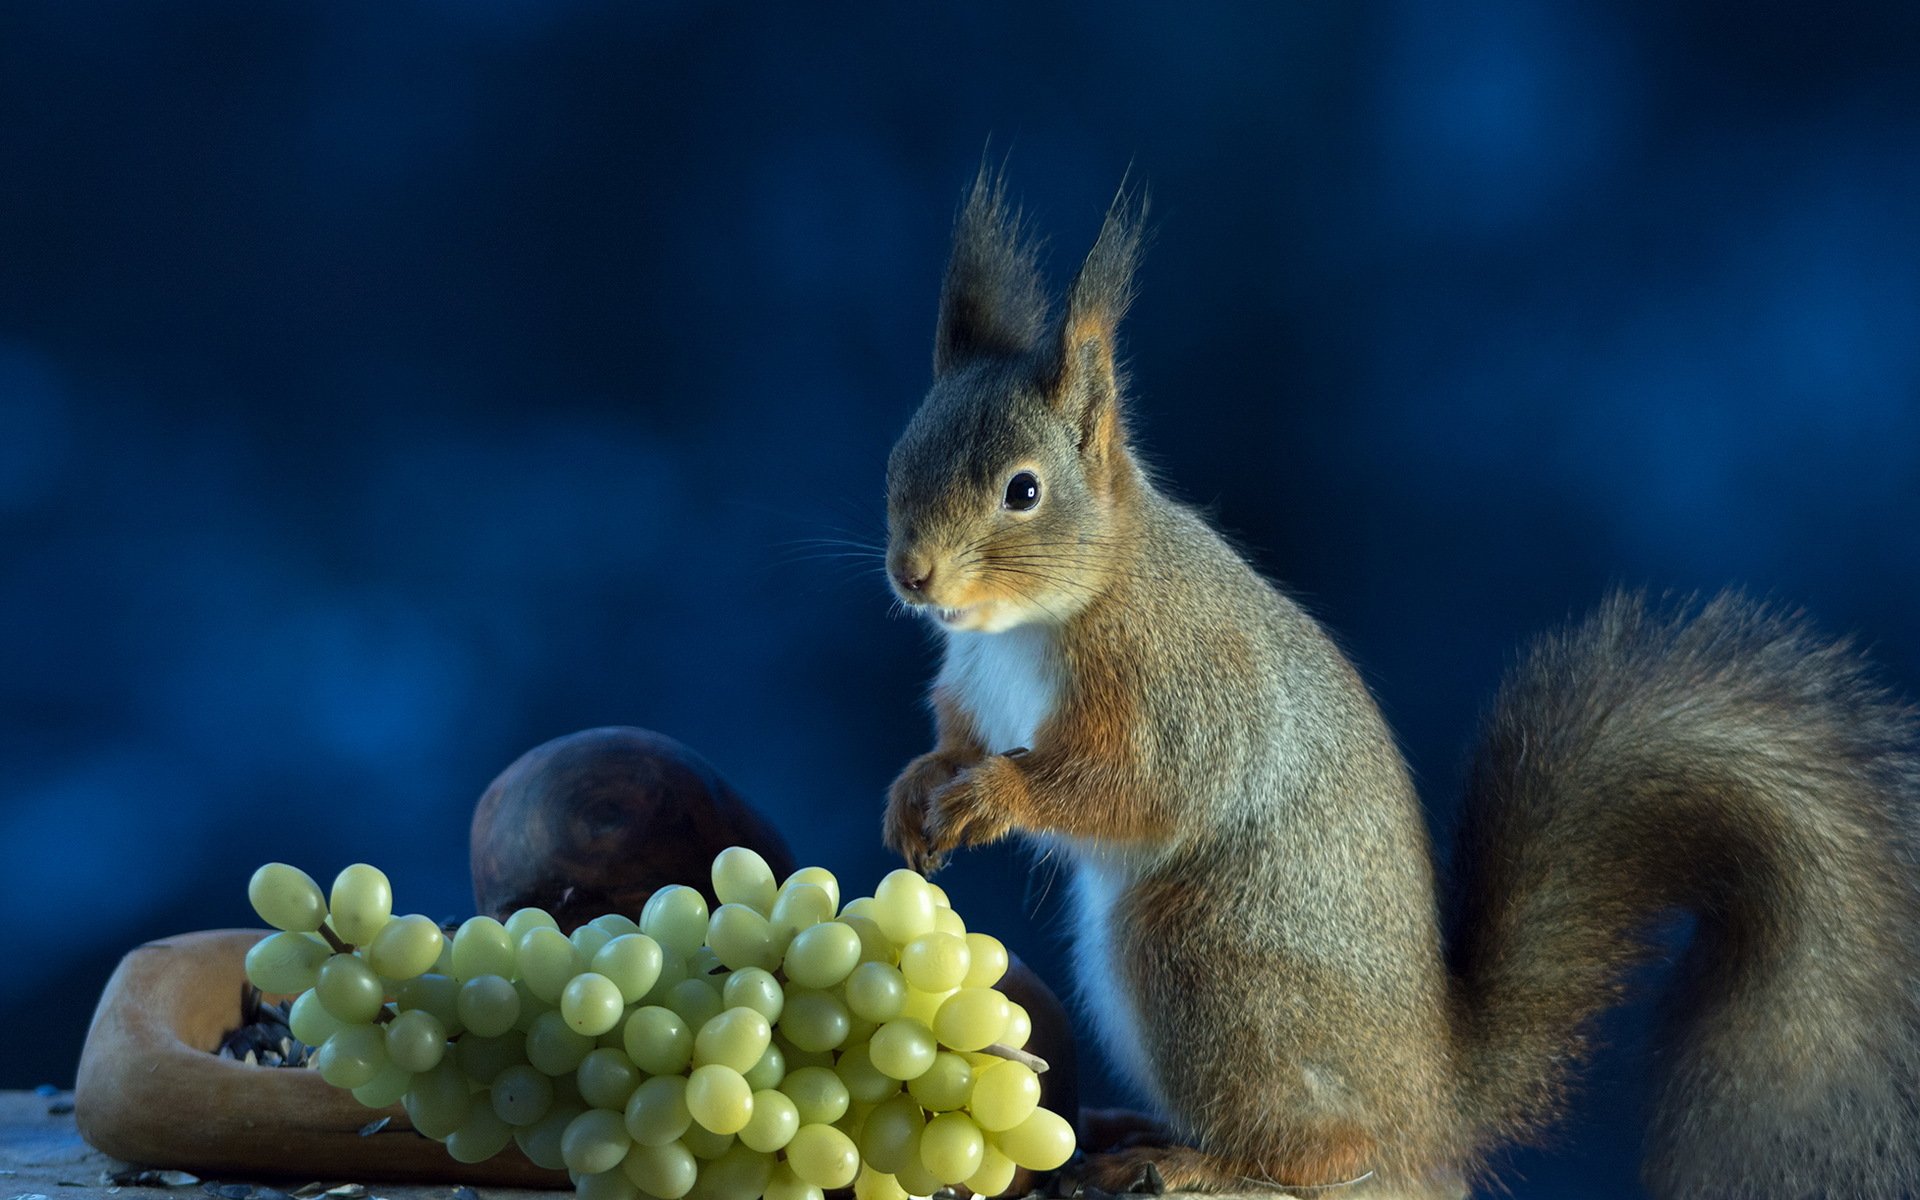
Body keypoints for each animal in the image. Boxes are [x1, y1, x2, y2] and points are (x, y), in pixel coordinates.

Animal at [879, 168, 1920, 1198]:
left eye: (1023, 490)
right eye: (897, 459)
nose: (913, 576)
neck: (1033, 621)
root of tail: (1432, 1113)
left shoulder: (1177, 685)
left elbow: (1137, 785)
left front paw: (996, 796)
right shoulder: (974, 686)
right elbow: (959, 740)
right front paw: (917, 790)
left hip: (1205, 960)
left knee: (1332, 1155)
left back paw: (1197, 1164)